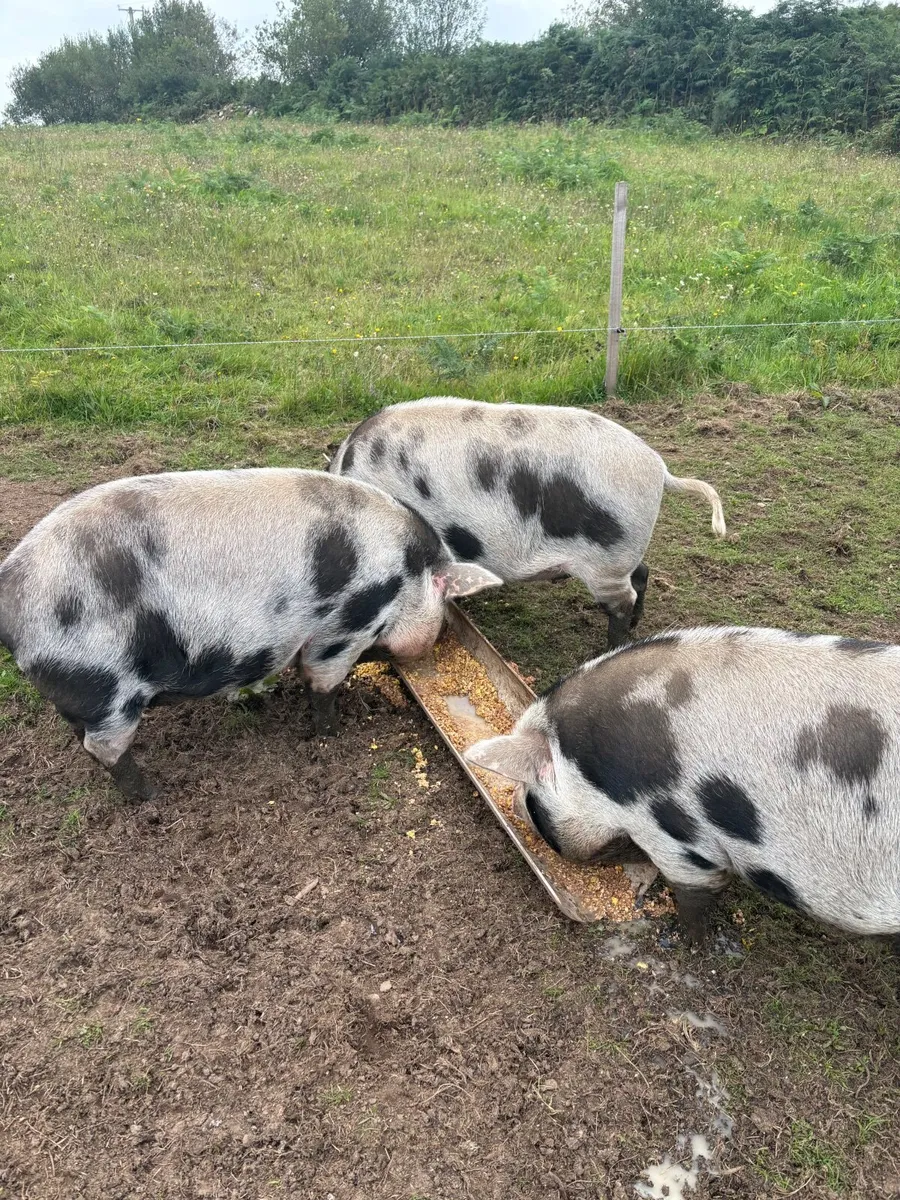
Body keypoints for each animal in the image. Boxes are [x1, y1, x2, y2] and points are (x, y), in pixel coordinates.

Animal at [0, 468, 501, 801]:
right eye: (443, 614)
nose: (430, 649)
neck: (405, 578)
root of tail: (10, 593)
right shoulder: (342, 627)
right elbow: (322, 682)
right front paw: (332, 734)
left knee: (81, 737)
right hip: (104, 683)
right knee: (104, 746)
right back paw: (151, 798)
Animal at [328, 397, 726, 651]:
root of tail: (660, 470)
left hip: (607, 560)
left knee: (621, 600)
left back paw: (609, 647)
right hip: (622, 553)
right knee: (642, 573)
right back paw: (634, 628)